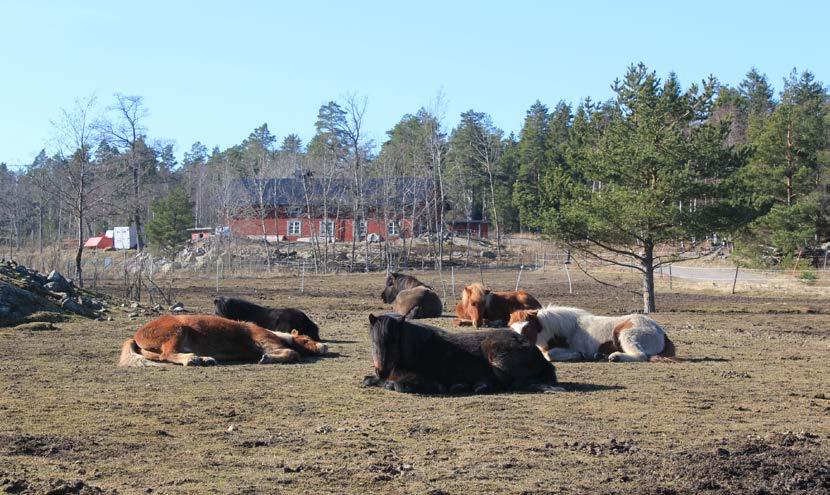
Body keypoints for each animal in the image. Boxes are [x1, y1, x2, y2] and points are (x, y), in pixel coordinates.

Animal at [120, 314, 328, 368]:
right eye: (306, 338)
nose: (324, 346)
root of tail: (136, 336)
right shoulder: (265, 342)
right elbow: (293, 352)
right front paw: (267, 359)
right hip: (176, 333)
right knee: (168, 354)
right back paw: (192, 359)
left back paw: (205, 359)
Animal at [362, 314, 564, 396]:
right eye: (373, 342)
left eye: (395, 341)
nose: (382, 371)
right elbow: (368, 380)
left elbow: (396, 386)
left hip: (498, 361)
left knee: (512, 384)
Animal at [510, 306, 680, 364]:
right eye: (511, 328)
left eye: (528, 327)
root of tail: (661, 333)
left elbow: (550, 355)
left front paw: (577, 355)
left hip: (626, 335)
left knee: (640, 356)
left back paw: (615, 357)